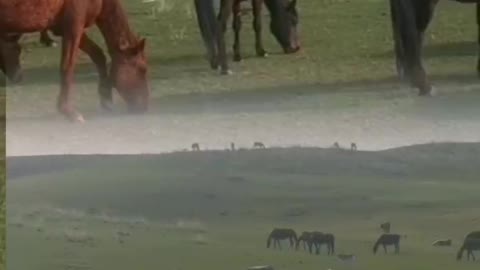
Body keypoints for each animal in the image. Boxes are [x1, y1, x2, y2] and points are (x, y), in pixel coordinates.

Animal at [0, 0, 150, 122]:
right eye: (142, 69)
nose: (144, 108)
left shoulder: (68, 28)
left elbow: (98, 55)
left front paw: (106, 99)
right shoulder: (73, 27)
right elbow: (67, 66)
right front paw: (69, 112)